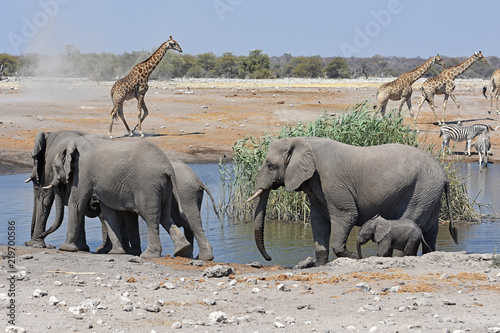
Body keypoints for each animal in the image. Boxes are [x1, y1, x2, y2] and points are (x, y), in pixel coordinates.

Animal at [44, 132, 191, 256]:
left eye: (56, 167)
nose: (44, 236)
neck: (75, 142)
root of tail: (168, 167)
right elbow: (108, 212)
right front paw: (117, 252)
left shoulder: (83, 172)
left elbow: (76, 203)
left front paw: (65, 248)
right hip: (165, 187)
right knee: (165, 217)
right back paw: (182, 249)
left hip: (148, 186)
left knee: (151, 218)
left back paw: (149, 255)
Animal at [248, 136, 458, 264]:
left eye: (270, 166)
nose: (269, 259)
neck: (304, 141)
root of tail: (444, 175)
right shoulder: (315, 186)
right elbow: (318, 221)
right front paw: (321, 263)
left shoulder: (331, 181)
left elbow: (347, 215)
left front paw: (354, 257)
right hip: (430, 194)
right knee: (430, 233)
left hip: (421, 191)